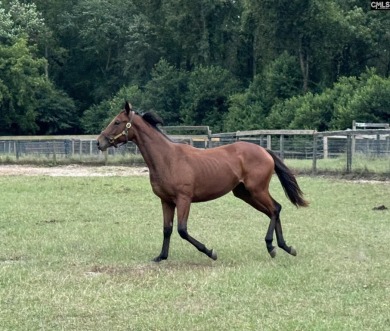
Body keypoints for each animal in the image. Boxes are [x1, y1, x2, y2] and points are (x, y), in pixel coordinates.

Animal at [96, 102, 308, 264]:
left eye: (117, 122)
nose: (99, 142)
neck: (167, 158)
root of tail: (264, 151)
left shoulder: (184, 199)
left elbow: (182, 230)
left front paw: (210, 252)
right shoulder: (166, 201)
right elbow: (167, 229)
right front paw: (161, 256)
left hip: (257, 190)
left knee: (274, 209)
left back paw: (272, 246)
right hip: (244, 193)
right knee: (274, 209)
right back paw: (285, 247)